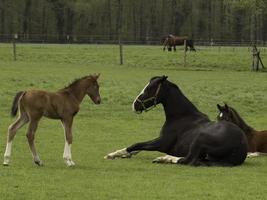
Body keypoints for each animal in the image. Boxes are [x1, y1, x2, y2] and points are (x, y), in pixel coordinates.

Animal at [105, 75, 249, 166]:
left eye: (149, 89)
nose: (134, 105)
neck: (181, 117)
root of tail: (241, 144)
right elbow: (138, 147)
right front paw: (120, 154)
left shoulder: (162, 143)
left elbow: (136, 144)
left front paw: (114, 154)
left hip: (199, 140)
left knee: (188, 160)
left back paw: (165, 158)